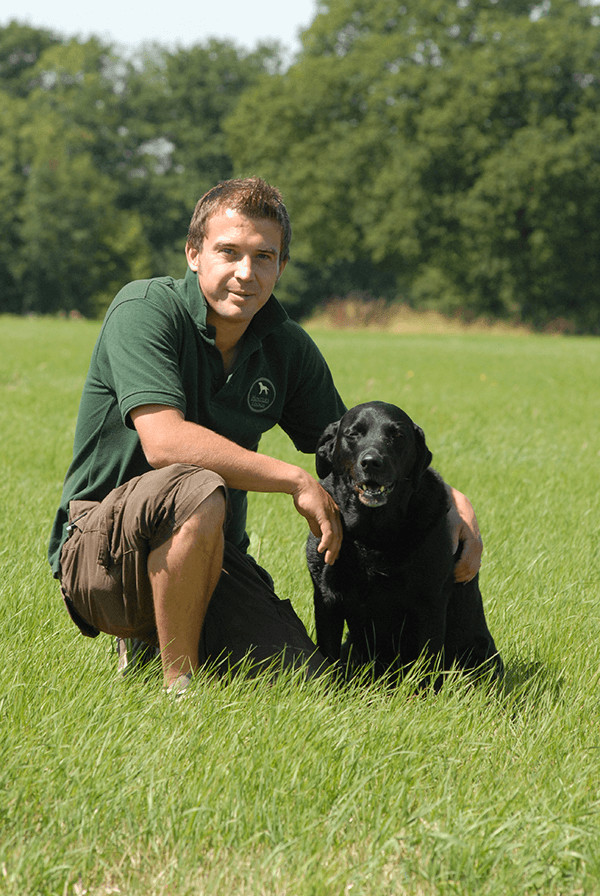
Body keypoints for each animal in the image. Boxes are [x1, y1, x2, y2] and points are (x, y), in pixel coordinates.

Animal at [304, 402, 502, 684]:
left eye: (397, 435)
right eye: (353, 433)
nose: (371, 462)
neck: (372, 535)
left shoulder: (430, 601)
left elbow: (427, 664)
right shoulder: (326, 597)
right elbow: (327, 657)